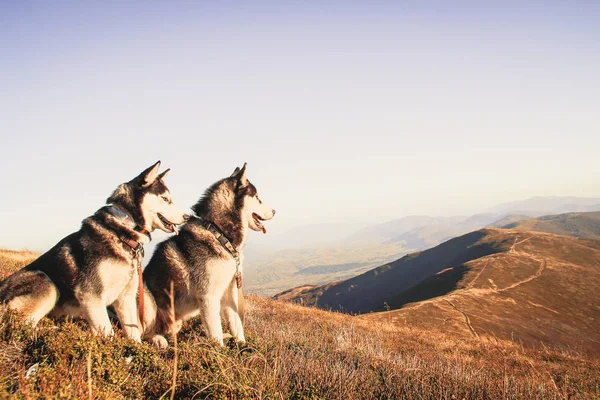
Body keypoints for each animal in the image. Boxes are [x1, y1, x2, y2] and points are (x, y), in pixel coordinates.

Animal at [0, 161, 188, 342]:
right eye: (165, 199)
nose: (186, 217)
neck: (124, 230)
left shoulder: (126, 298)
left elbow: (133, 333)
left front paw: (134, 349)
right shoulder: (91, 295)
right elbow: (108, 334)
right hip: (47, 284)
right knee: (23, 323)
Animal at [144, 162, 276, 346]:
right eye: (257, 197)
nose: (274, 211)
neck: (219, 234)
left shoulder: (230, 293)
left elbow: (237, 326)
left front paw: (242, 347)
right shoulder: (209, 297)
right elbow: (216, 332)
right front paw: (219, 349)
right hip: (146, 299)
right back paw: (157, 339)